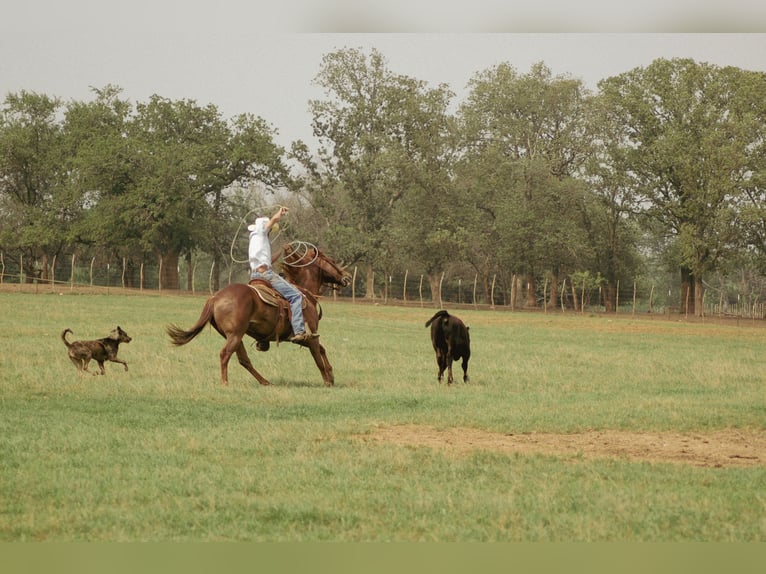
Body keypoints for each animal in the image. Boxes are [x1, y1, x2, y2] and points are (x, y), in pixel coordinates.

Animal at [166, 243, 352, 388]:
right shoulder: (310, 336)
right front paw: (327, 381)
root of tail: (214, 298)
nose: (347, 276)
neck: (304, 292)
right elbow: (318, 357)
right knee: (225, 354)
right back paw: (225, 382)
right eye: (332, 261)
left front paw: (331, 376)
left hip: (234, 335)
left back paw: (264, 381)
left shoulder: (301, 337)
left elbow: (322, 350)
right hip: (235, 334)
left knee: (243, 359)